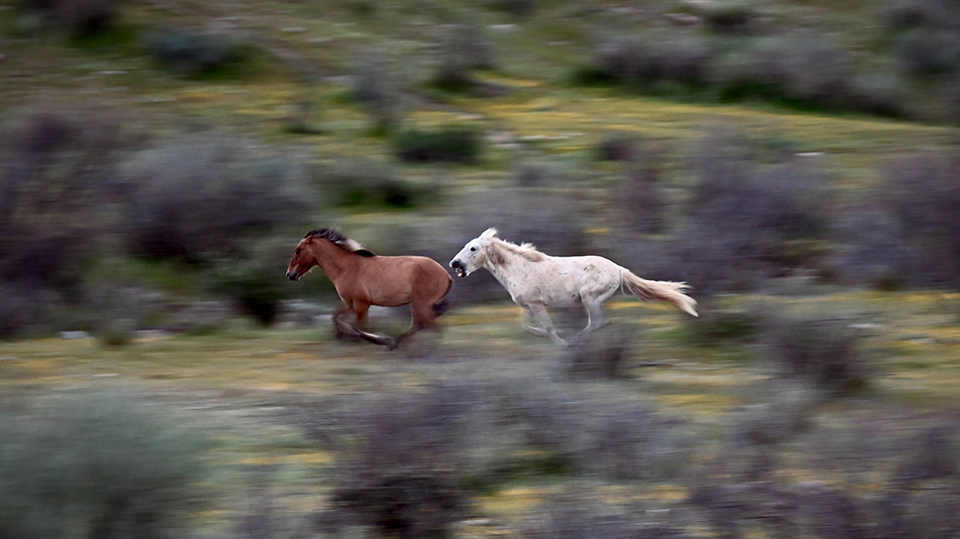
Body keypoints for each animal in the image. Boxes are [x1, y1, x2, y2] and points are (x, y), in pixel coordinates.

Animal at [284, 229, 454, 350]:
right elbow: (336, 317)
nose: (290, 274)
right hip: (420, 305)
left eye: (298, 250)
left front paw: (377, 339)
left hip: (420, 304)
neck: (346, 267)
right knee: (421, 325)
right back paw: (395, 344)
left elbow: (360, 328)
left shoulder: (361, 305)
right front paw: (341, 335)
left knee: (429, 326)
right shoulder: (351, 304)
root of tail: (446, 275)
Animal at [450, 228, 696, 346]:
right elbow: (526, 326)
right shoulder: (529, 305)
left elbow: (549, 328)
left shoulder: (536, 304)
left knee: (598, 322)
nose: (454, 264)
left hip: (589, 298)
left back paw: (574, 342)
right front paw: (544, 337)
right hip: (593, 300)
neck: (519, 267)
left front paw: (560, 344)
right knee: (602, 322)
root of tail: (619, 269)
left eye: (473, 248)